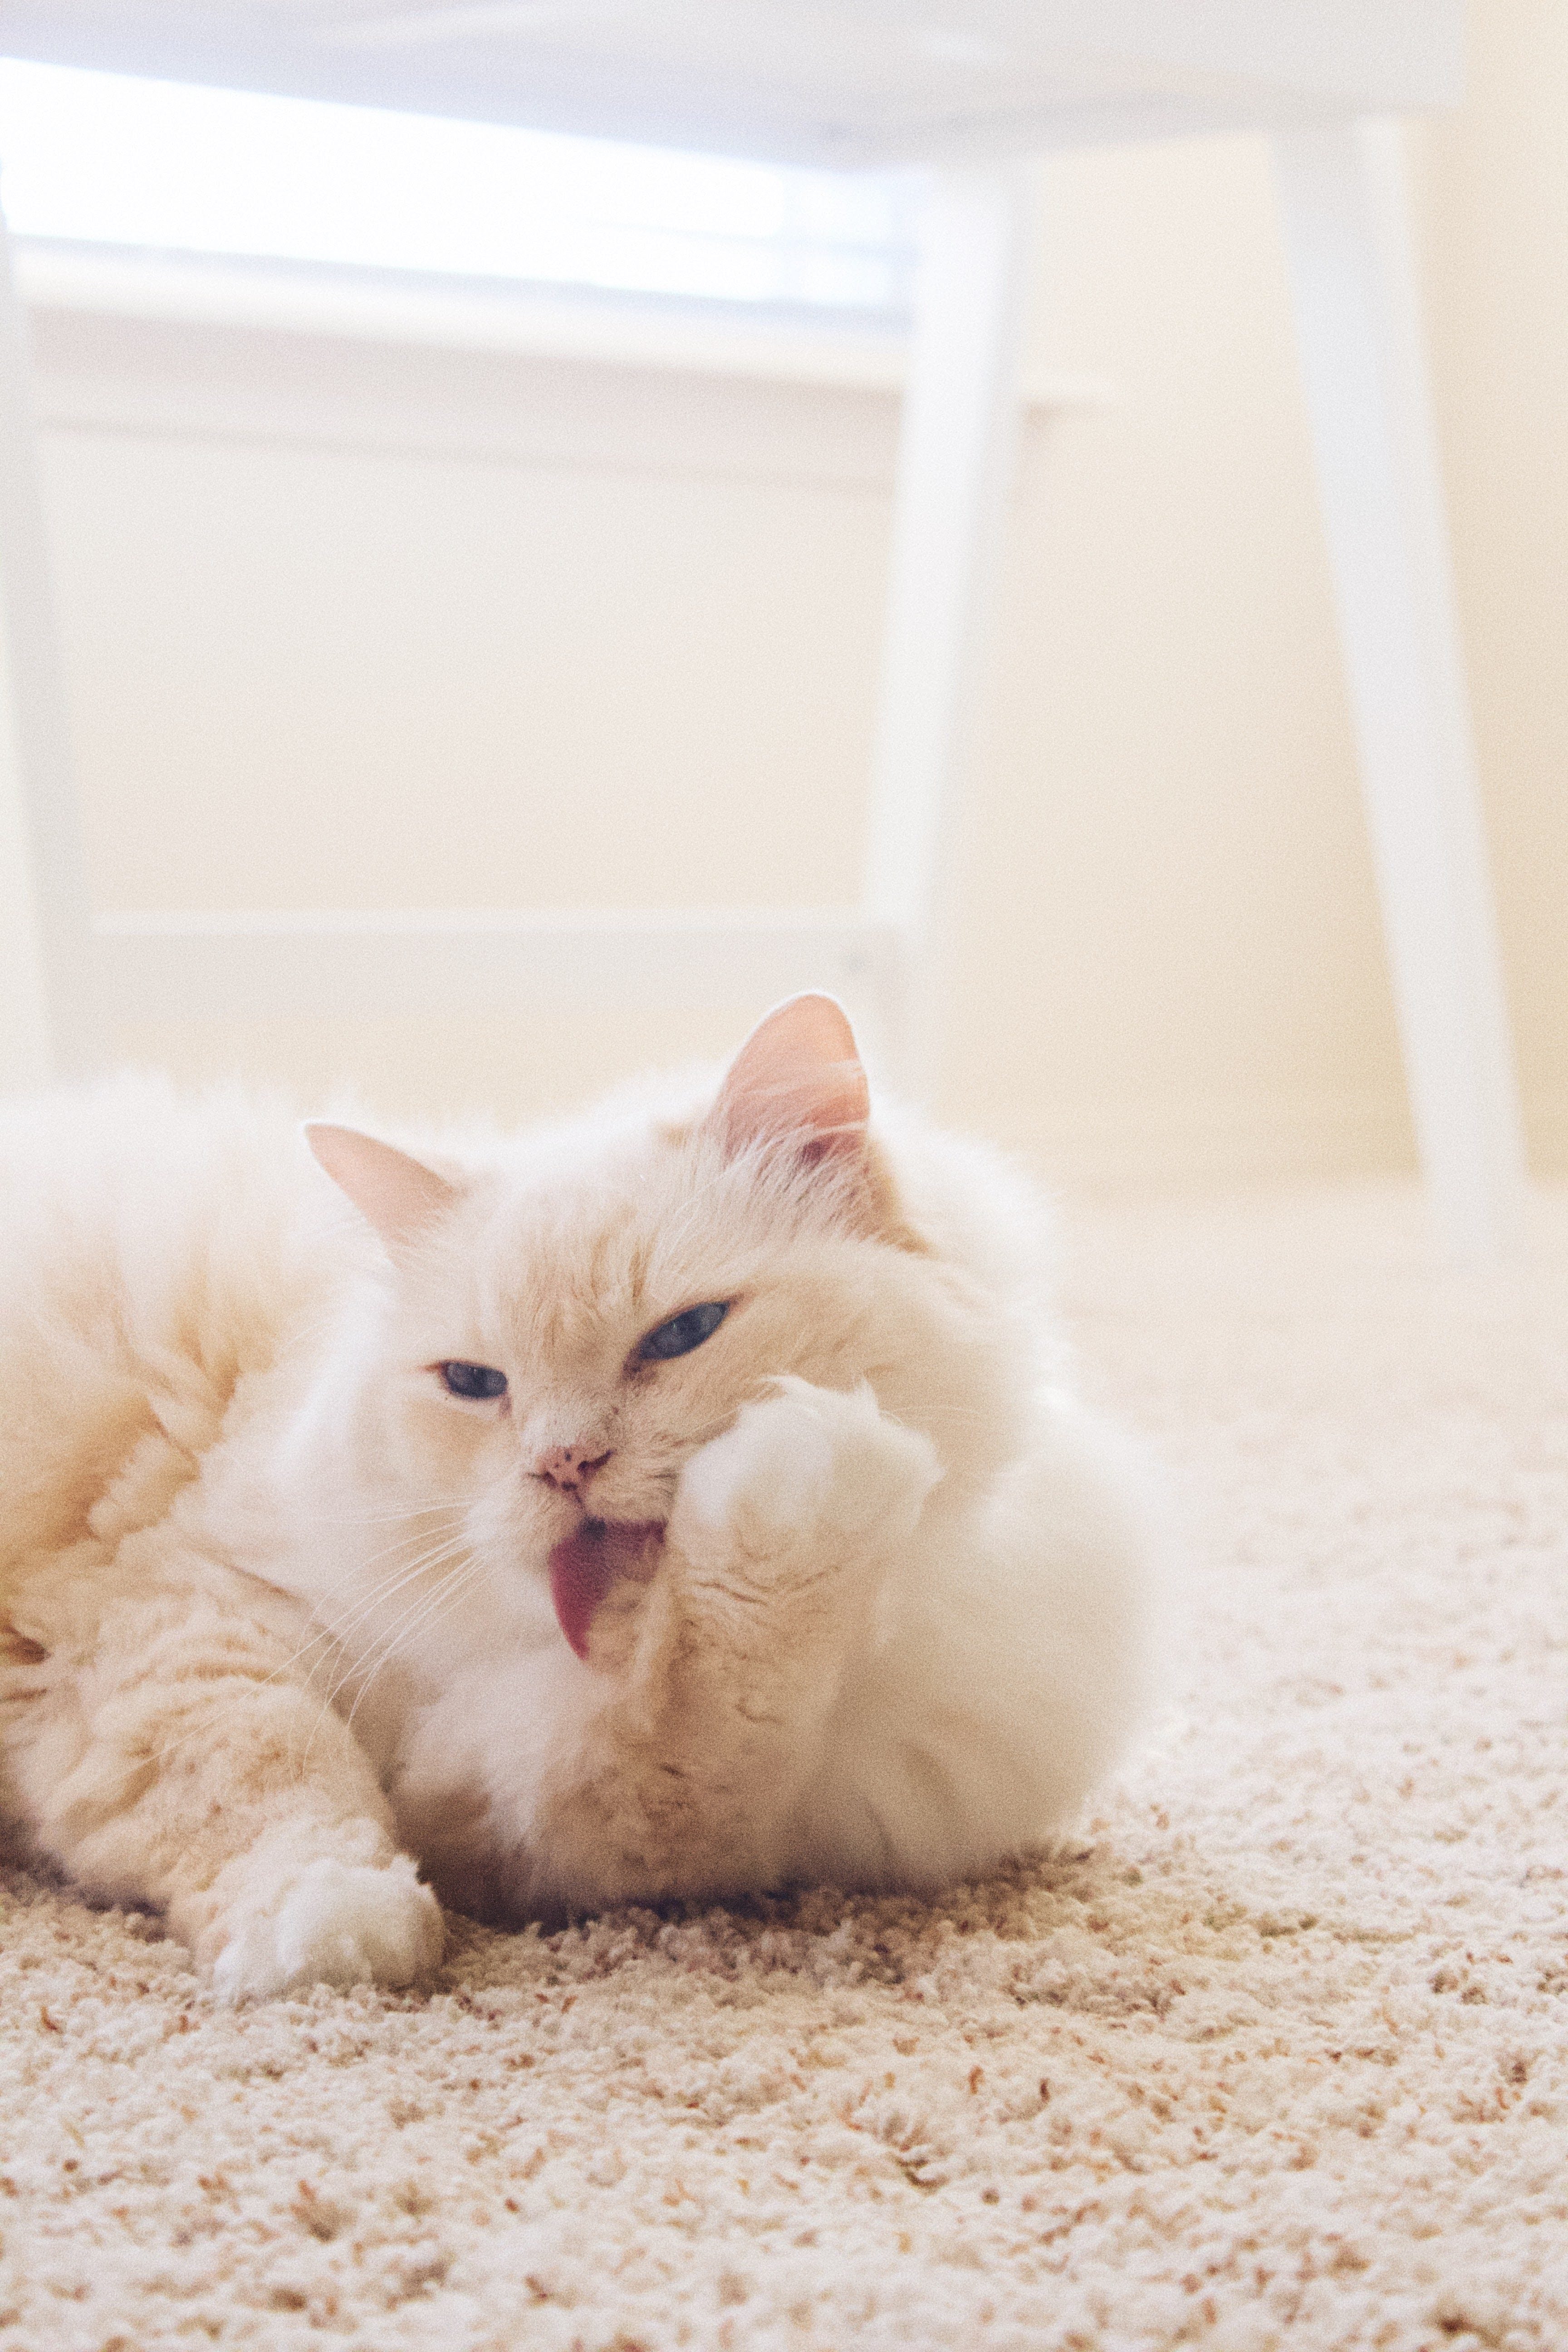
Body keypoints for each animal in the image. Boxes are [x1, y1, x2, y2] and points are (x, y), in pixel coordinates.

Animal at [0, 992, 1152, 2004]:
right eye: (474, 1383)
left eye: (683, 1335)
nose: (562, 1464)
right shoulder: (175, 1609)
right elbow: (258, 1764)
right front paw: (326, 1926)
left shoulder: (552, 1820)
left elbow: (686, 1749)